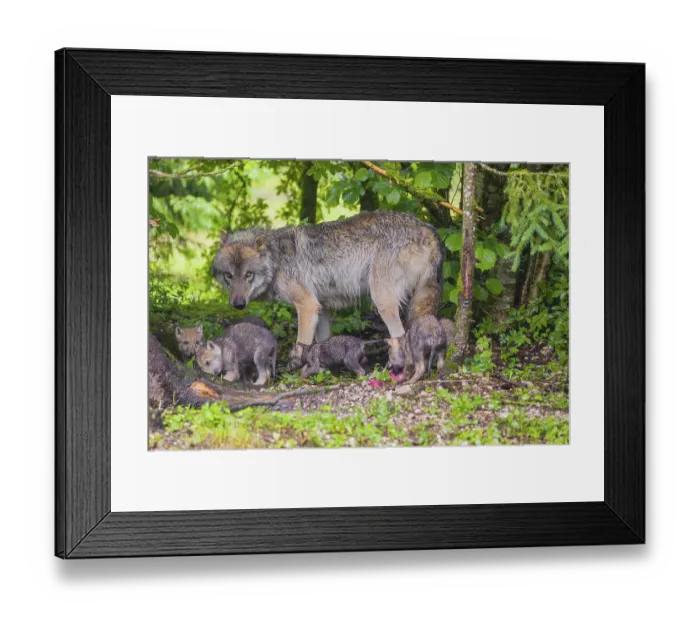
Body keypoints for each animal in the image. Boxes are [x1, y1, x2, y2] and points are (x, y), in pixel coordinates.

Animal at [213, 211, 443, 364]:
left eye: (248, 275)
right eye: (229, 276)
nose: (238, 304)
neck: (276, 259)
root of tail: (427, 227)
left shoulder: (307, 306)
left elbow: (302, 344)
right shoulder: (320, 308)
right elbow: (321, 343)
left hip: (382, 301)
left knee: (400, 335)